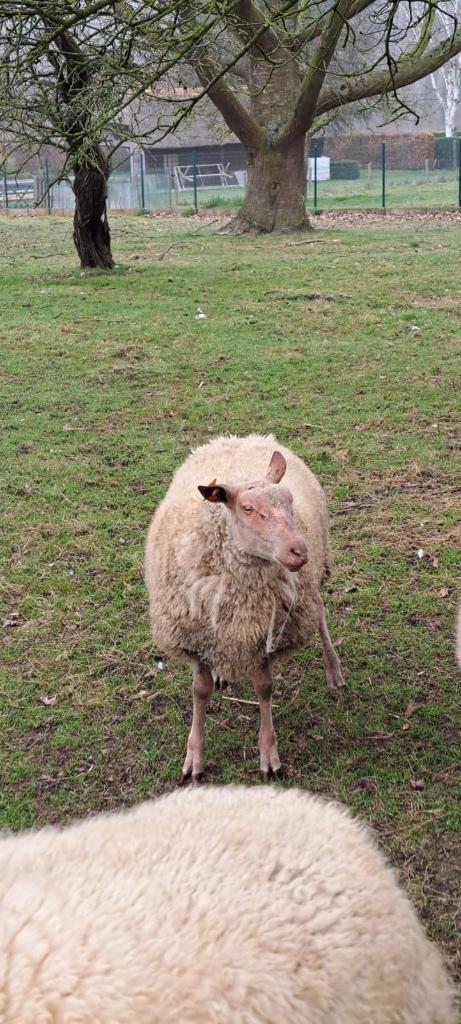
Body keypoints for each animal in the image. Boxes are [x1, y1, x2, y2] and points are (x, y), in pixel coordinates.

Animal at [145, 434, 344, 783]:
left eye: (289, 501)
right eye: (248, 508)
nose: (299, 551)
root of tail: (239, 438)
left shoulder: (265, 637)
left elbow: (264, 689)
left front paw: (269, 755)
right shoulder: (197, 638)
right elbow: (199, 691)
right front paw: (194, 757)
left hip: (312, 581)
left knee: (319, 612)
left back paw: (333, 668)